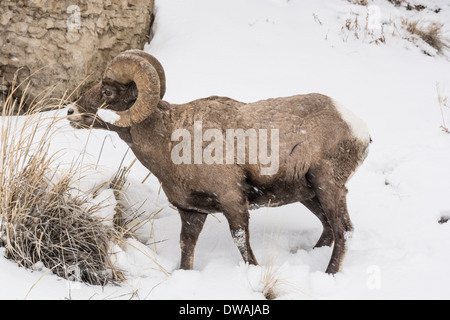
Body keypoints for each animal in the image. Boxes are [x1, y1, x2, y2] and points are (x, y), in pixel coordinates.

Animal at [67, 50, 370, 276]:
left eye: (107, 91)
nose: (70, 112)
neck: (170, 141)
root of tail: (358, 128)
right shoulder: (192, 212)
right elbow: (186, 248)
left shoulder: (232, 201)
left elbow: (241, 243)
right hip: (310, 195)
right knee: (329, 229)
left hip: (328, 188)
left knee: (343, 232)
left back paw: (328, 274)